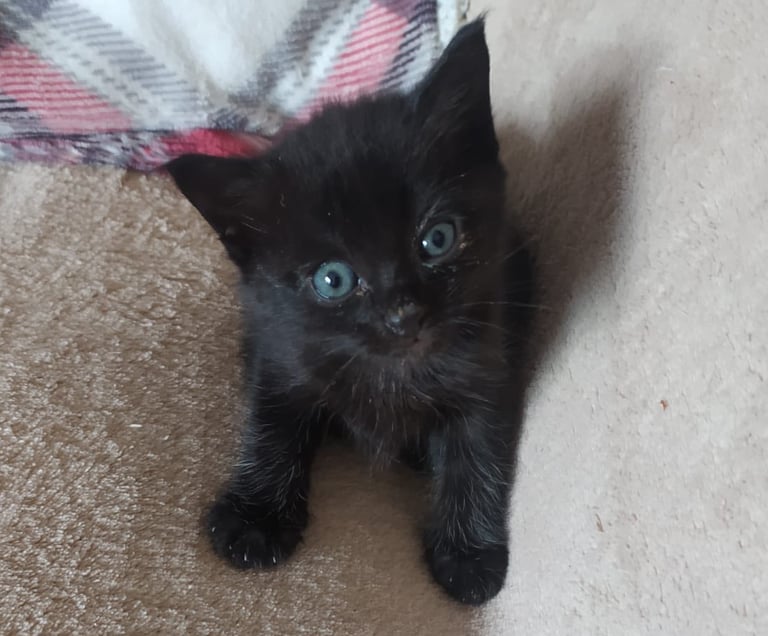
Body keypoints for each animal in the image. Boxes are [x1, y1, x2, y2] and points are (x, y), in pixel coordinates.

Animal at [166, 19, 534, 606]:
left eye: (437, 239)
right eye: (332, 279)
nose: (403, 314)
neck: (393, 370)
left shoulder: (490, 356)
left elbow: (478, 451)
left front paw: (469, 554)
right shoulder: (279, 346)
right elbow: (271, 422)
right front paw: (255, 517)